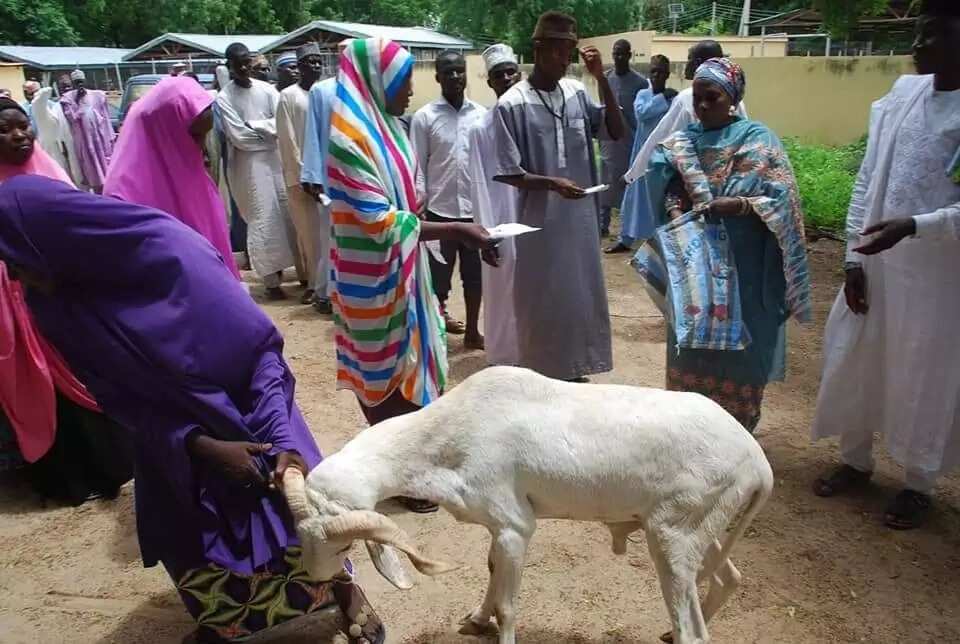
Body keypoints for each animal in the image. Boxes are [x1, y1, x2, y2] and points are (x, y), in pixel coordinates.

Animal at [284, 368, 772, 644]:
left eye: (344, 547)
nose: (318, 580)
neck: (446, 436)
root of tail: (758, 463)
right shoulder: (497, 528)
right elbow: (491, 575)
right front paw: (475, 620)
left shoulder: (515, 527)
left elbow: (509, 606)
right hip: (693, 528)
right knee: (728, 579)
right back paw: (671, 629)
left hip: (672, 539)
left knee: (696, 632)